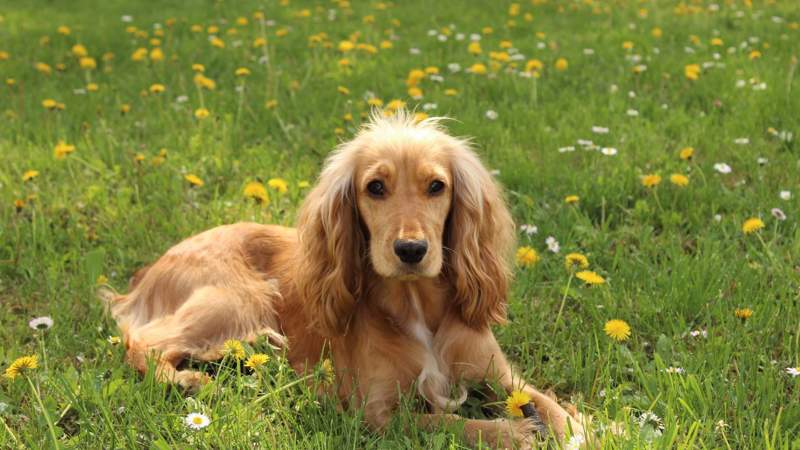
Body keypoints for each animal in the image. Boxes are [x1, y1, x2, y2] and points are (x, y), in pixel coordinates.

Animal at [103, 111, 584, 446]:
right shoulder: (375, 413)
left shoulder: (500, 375)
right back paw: (188, 380)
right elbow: (447, 422)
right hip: (236, 299)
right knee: (142, 343)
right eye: (375, 187)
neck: (417, 307)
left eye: (436, 186)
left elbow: (549, 403)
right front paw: (513, 433)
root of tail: (150, 271)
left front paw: (584, 428)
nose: (411, 250)